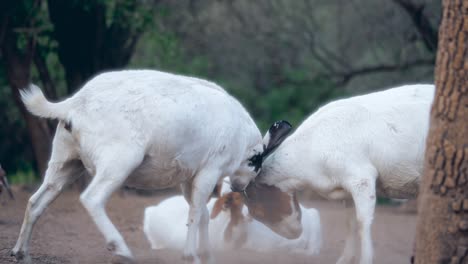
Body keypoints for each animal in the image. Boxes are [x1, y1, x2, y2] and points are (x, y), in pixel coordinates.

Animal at [11, 70, 280, 264]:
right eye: (257, 162)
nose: (240, 187)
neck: (242, 136)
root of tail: (75, 103)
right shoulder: (209, 171)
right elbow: (195, 213)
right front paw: (190, 255)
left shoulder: (188, 178)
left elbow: (202, 212)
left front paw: (207, 255)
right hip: (118, 161)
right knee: (91, 198)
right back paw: (120, 248)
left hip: (66, 162)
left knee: (36, 202)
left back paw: (21, 253)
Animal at [230, 84, 436, 264]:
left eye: (257, 211)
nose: (295, 234)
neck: (311, 147)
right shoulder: (347, 190)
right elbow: (350, 223)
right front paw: (345, 259)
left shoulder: (362, 179)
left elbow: (363, 222)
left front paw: (365, 259)